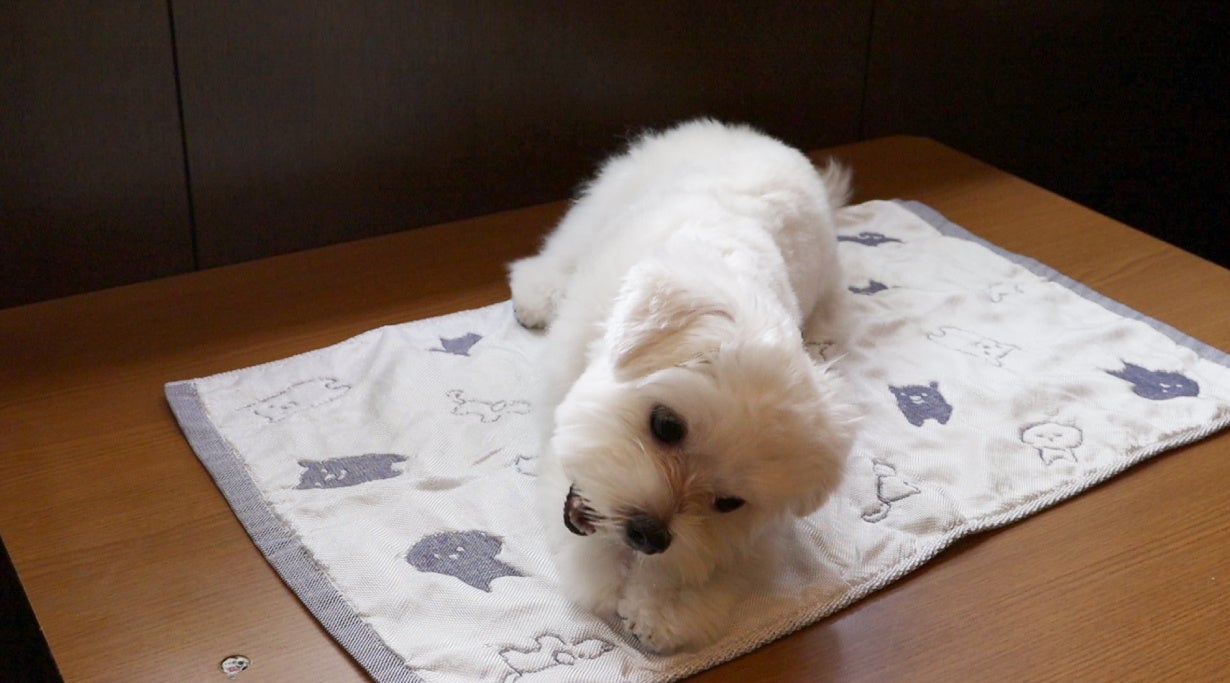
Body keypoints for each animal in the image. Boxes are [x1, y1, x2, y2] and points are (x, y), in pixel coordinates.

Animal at [508, 119, 858, 653]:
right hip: (605, 201)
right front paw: (606, 577)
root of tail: (758, 137)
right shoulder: (562, 432)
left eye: (729, 503)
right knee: (562, 248)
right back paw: (539, 292)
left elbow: (715, 556)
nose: (649, 535)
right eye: (666, 425)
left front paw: (662, 604)